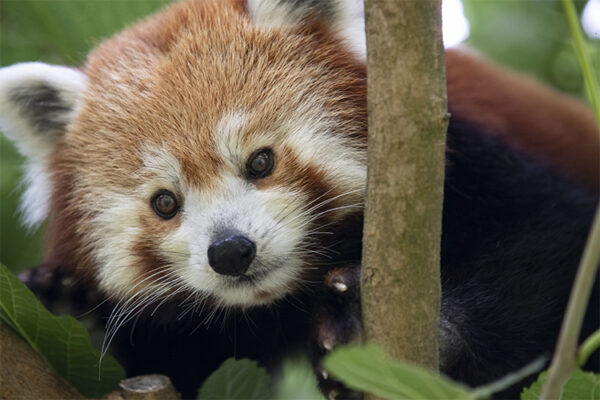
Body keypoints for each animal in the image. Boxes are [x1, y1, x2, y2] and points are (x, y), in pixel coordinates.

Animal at [0, 0, 596, 398]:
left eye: (260, 161)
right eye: (165, 202)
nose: (230, 251)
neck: (288, 297)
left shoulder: (469, 154)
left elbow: (555, 255)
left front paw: (376, 329)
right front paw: (70, 316)